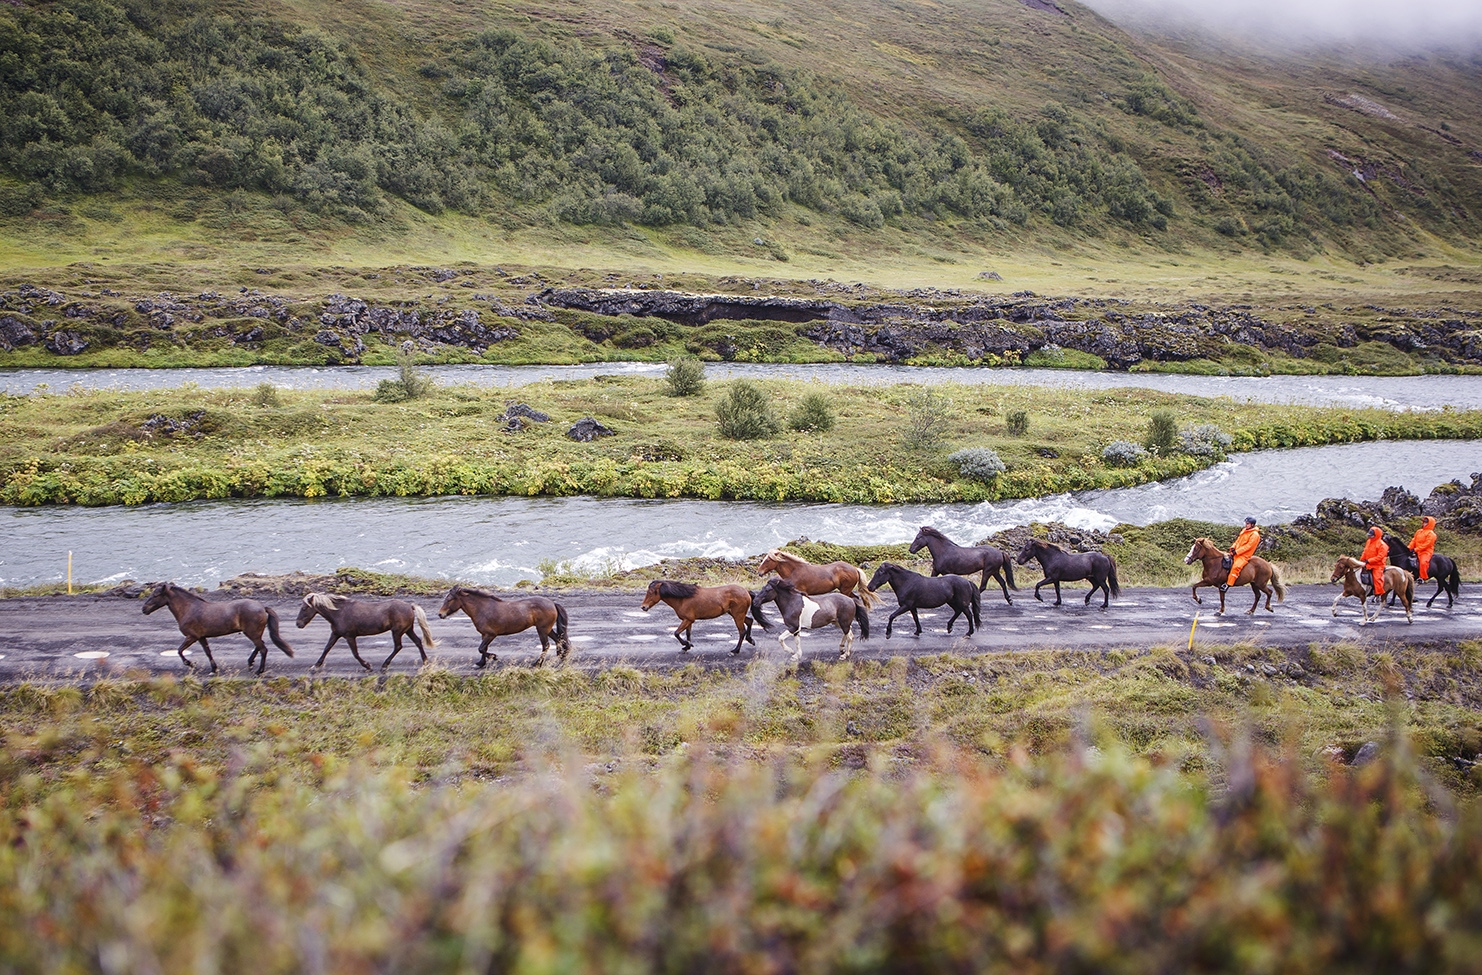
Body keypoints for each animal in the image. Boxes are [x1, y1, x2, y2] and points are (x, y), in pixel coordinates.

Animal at [142, 582, 295, 675]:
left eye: (155, 595)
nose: (144, 609)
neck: (189, 608)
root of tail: (263, 607)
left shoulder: (192, 636)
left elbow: (180, 650)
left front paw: (190, 664)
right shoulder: (201, 637)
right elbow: (208, 652)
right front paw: (213, 669)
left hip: (251, 633)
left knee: (263, 649)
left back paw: (259, 670)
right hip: (254, 633)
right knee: (260, 646)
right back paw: (250, 663)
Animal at [296, 593, 437, 671]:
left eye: (304, 608)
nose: (298, 624)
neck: (338, 613)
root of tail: (410, 606)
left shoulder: (349, 636)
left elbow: (355, 653)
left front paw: (368, 665)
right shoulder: (335, 634)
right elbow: (326, 649)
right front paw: (315, 666)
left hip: (397, 631)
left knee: (398, 646)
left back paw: (384, 665)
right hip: (408, 630)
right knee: (418, 642)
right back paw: (425, 662)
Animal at [437, 586, 570, 668]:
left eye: (450, 599)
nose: (440, 614)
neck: (482, 609)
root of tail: (552, 603)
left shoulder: (491, 634)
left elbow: (481, 648)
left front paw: (494, 657)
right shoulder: (484, 634)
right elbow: (483, 649)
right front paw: (480, 663)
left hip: (542, 629)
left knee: (546, 645)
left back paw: (537, 663)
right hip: (547, 629)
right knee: (559, 640)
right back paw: (561, 658)